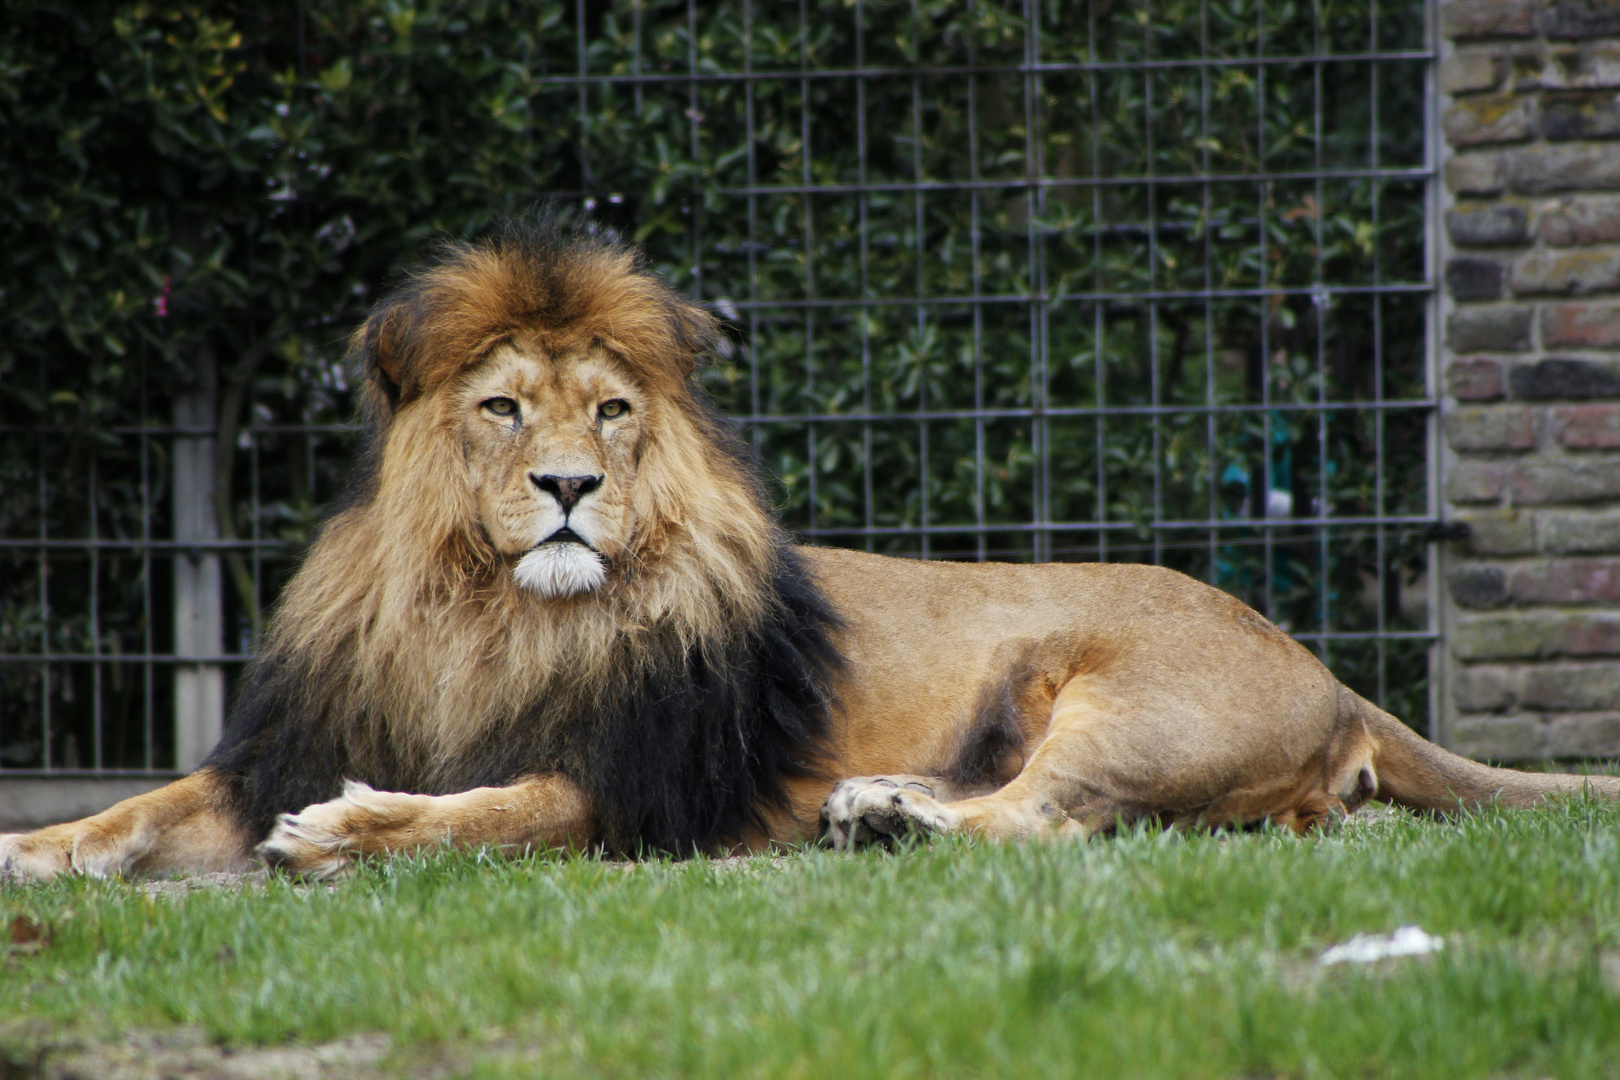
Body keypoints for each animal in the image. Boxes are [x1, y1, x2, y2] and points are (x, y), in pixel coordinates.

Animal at [3, 220, 1620, 880]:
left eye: (613, 411)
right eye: (503, 407)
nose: (570, 486)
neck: (488, 614)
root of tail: (1336, 677)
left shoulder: (636, 786)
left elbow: (484, 810)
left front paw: (344, 833)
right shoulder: (286, 736)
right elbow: (131, 811)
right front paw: (29, 847)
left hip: (1135, 700)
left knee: (1053, 822)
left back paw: (897, 826)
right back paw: (879, 803)